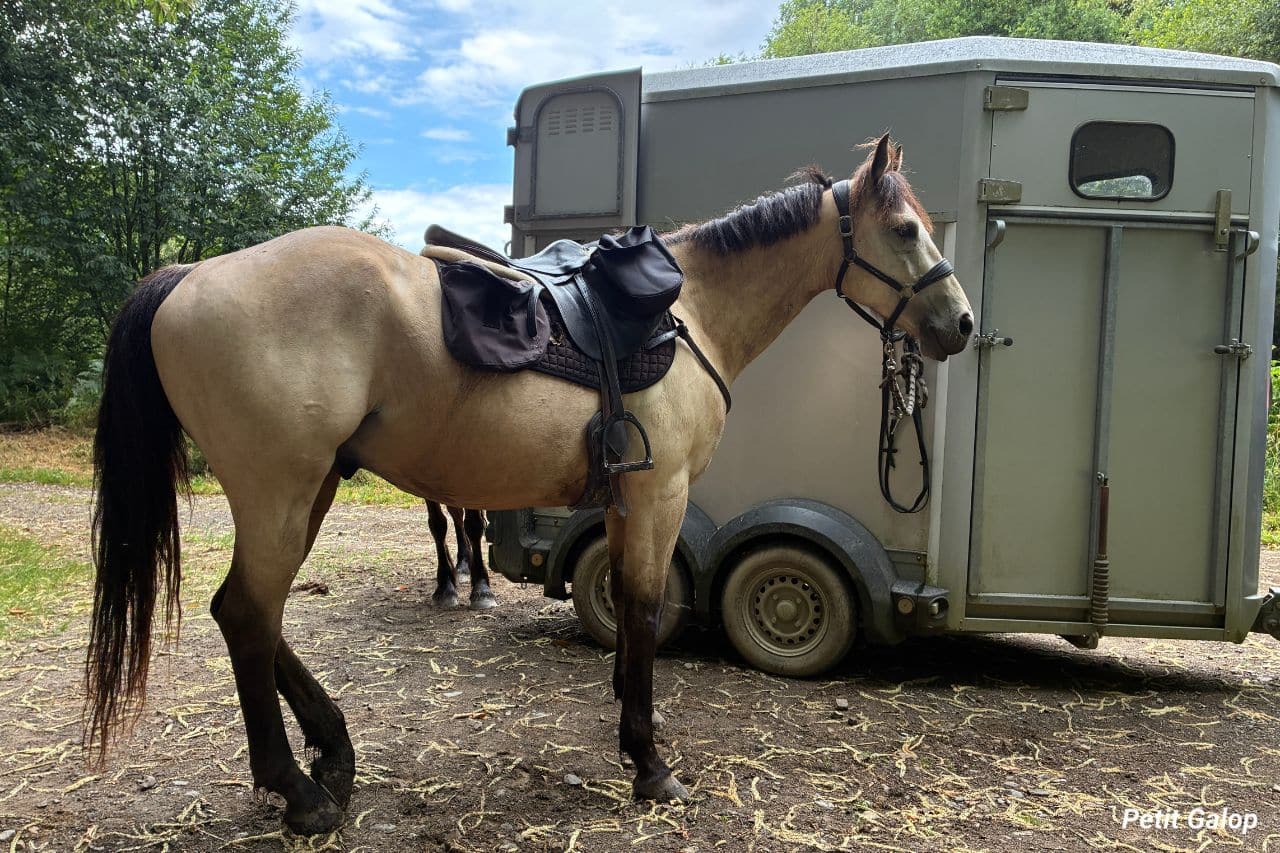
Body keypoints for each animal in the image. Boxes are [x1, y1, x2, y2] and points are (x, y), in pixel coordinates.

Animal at [85, 135, 972, 834]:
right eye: (904, 230)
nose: (960, 323)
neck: (690, 313)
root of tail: (190, 274)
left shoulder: (624, 499)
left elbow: (631, 612)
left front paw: (631, 727)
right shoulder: (662, 494)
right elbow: (644, 609)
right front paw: (650, 763)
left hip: (310, 490)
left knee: (254, 616)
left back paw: (333, 750)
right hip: (280, 490)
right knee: (247, 614)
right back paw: (300, 791)